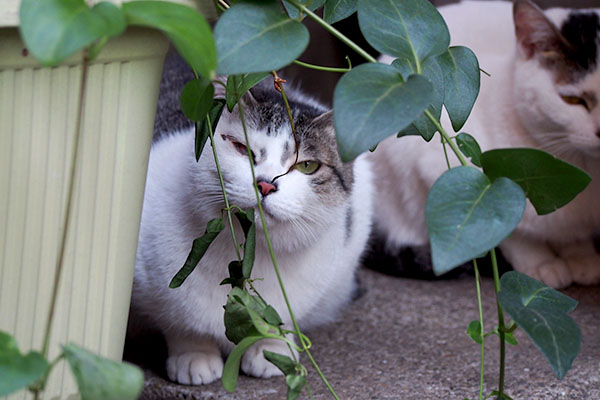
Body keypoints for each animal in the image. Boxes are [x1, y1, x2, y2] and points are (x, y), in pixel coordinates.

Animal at [131, 76, 372, 386]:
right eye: (241, 148)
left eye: (307, 165)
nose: (266, 184)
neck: (249, 256)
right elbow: (179, 322)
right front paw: (194, 354)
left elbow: (280, 322)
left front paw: (272, 349)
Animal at [370, 0, 600, 288]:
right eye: (573, 100)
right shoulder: (446, 169)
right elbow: (506, 229)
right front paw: (540, 264)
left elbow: (571, 234)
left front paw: (581, 256)